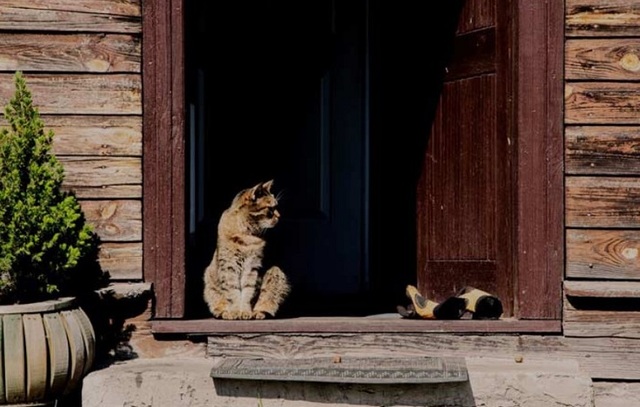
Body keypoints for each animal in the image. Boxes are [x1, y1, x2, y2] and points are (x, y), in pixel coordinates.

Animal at [202, 180, 290, 320]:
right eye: (271, 208)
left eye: (277, 206)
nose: (279, 216)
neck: (246, 234)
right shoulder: (229, 267)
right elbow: (233, 292)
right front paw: (235, 312)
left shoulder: (252, 268)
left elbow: (248, 292)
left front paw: (245, 312)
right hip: (209, 278)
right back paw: (224, 312)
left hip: (276, 272)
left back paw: (259, 312)